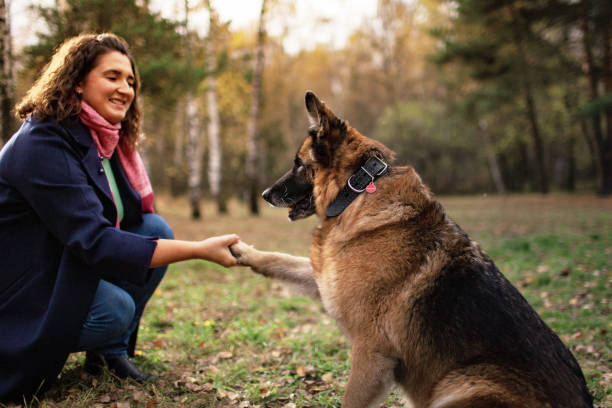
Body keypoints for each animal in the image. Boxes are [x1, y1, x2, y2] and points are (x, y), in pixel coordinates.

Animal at [231, 92, 592, 408]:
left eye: (298, 163)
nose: (263, 195)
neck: (355, 191)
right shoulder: (324, 280)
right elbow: (280, 260)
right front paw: (242, 251)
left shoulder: (371, 353)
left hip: (463, 385)